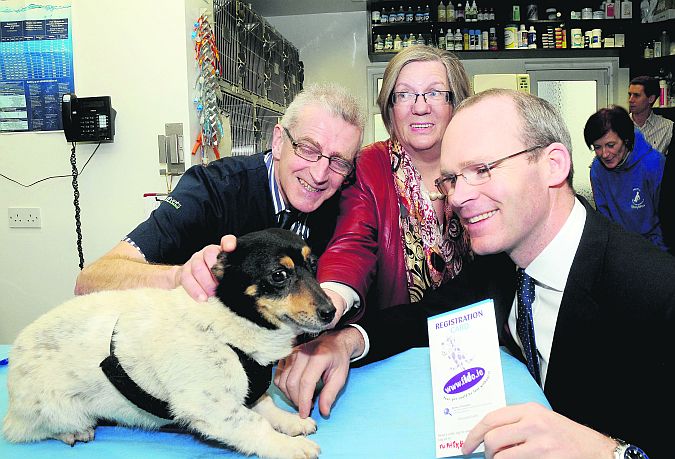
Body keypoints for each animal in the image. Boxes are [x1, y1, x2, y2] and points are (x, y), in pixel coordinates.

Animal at [2, 228, 336, 458]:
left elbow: (266, 406)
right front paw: (288, 446)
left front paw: (292, 422)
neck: (232, 321)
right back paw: (75, 432)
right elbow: (253, 424)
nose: (331, 312)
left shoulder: (248, 391)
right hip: (53, 411)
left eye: (313, 264)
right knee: (31, 430)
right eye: (279, 275)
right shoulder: (210, 406)